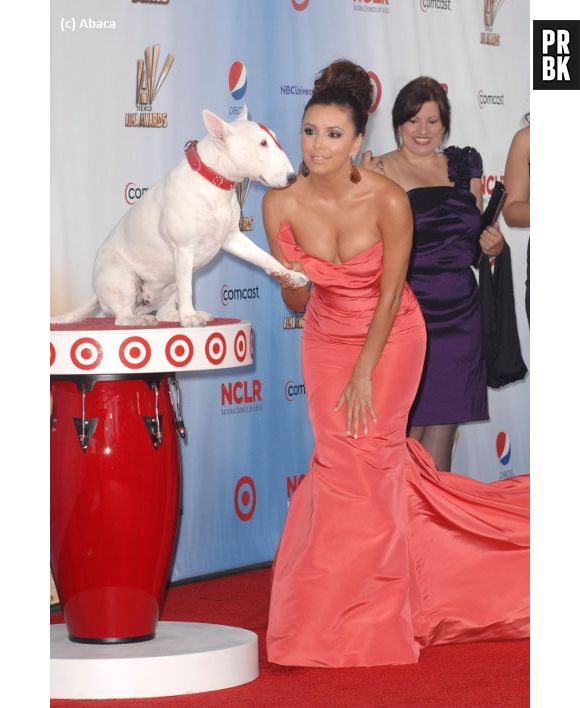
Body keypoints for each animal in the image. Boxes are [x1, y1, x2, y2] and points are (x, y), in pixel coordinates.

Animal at [51, 107, 308, 327]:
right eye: (262, 143)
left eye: (273, 138)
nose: (292, 177)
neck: (214, 183)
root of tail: (95, 291)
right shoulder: (184, 248)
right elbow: (188, 291)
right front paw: (189, 318)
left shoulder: (232, 238)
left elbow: (264, 257)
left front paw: (291, 275)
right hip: (123, 277)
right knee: (122, 317)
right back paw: (147, 319)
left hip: (171, 279)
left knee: (163, 311)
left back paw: (182, 315)